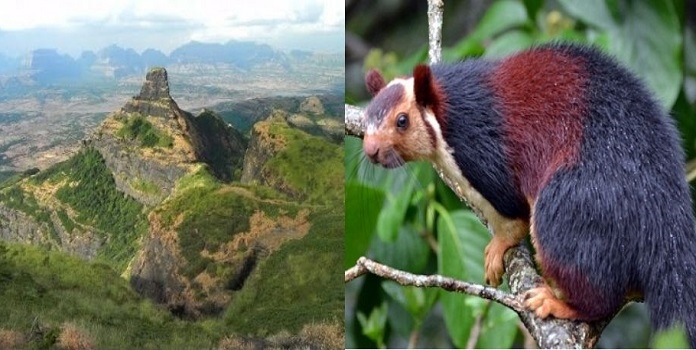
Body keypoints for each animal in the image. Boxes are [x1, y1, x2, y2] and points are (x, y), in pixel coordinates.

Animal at [362, 43, 696, 344]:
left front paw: (499, 245)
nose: (370, 150)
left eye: (402, 121)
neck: (447, 107)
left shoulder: (482, 151)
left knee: (598, 296)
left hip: (571, 207)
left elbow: (513, 212)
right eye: (365, 118)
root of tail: (664, 210)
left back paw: (558, 302)